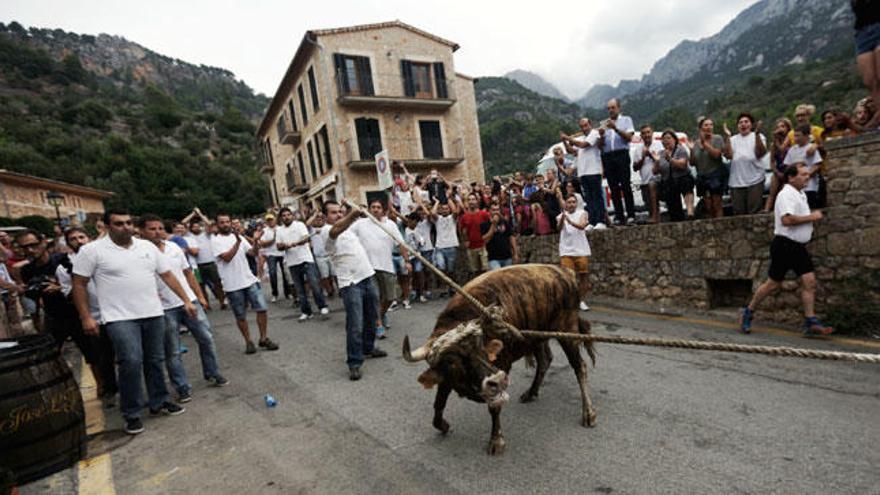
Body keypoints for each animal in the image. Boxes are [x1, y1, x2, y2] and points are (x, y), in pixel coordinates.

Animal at [400, 266, 596, 456]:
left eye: (481, 348)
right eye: (452, 362)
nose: (497, 380)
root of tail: (565, 272)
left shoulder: (503, 367)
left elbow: (494, 408)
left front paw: (496, 441)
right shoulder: (446, 378)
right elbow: (439, 402)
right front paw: (443, 425)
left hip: (567, 331)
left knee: (580, 366)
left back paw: (588, 413)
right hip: (536, 337)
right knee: (545, 360)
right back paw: (531, 392)